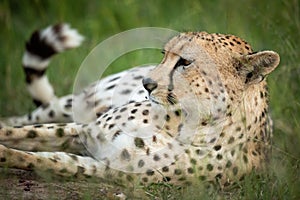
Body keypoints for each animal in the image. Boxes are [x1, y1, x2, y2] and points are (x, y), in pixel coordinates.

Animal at [0, 23, 278, 186]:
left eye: (185, 62)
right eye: (165, 55)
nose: (147, 83)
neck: (189, 122)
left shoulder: (107, 167)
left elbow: (45, 160)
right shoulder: (87, 130)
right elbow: (23, 133)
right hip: (73, 104)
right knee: (22, 119)